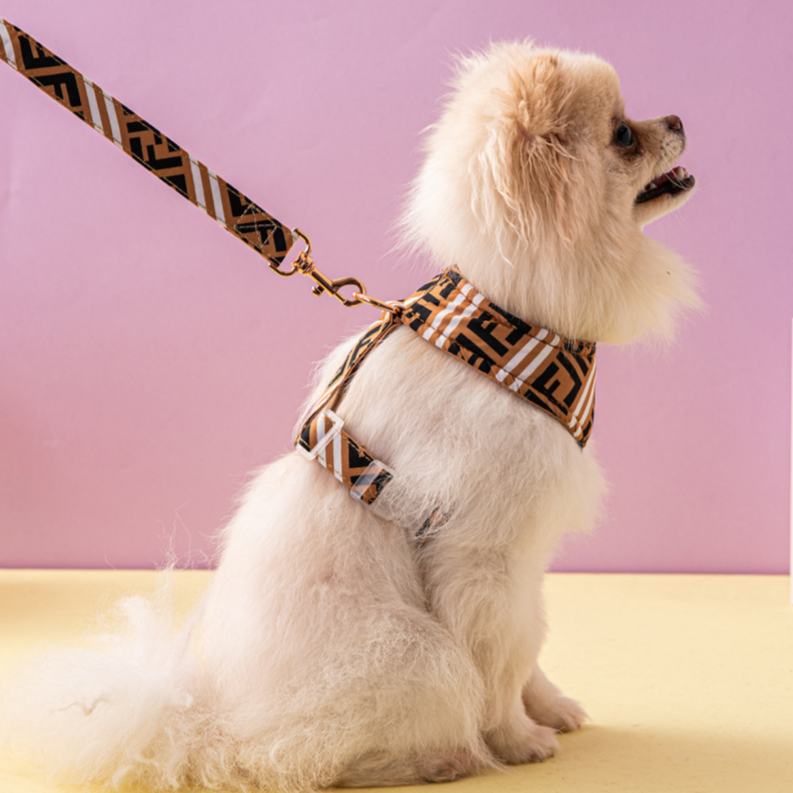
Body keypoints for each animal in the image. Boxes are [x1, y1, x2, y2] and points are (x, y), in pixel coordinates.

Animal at [3, 40, 698, 789]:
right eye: (622, 134)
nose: (678, 117)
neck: (511, 330)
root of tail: (200, 719)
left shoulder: (521, 564)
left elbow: (528, 643)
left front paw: (550, 706)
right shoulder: (486, 555)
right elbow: (498, 662)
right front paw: (517, 738)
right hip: (414, 654)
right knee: (304, 753)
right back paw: (443, 755)